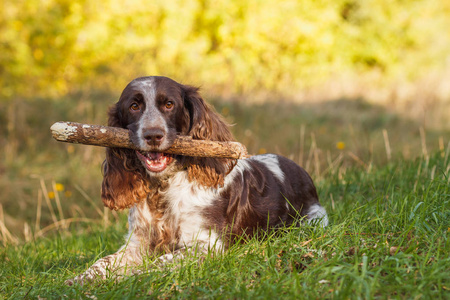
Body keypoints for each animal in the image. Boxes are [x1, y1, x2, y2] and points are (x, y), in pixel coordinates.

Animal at [66, 76, 326, 284]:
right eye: (134, 106)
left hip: (313, 220)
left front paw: (137, 276)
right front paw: (80, 279)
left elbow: (162, 261)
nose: (153, 135)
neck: (164, 189)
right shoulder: (137, 243)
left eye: (169, 104)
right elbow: (103, 262)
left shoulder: (207, 244)